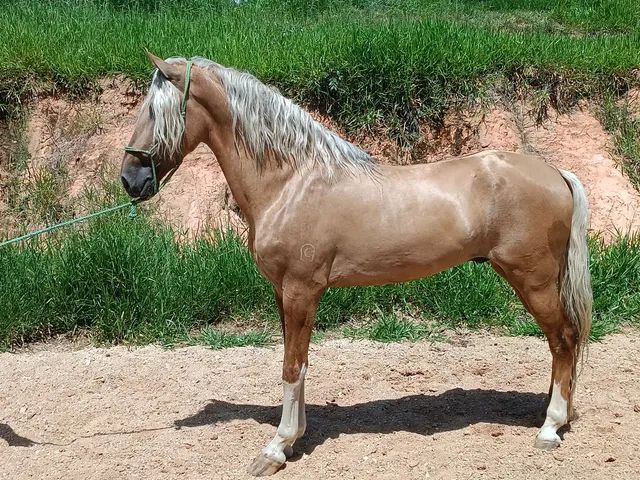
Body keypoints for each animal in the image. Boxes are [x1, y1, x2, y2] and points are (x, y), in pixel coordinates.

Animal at [120, 53, 592, 476]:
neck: (291, 181)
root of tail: (557, 174)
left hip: (533, 280)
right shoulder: (284, 292)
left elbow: (292, 366)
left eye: (153, 110)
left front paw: (275, 448)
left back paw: (550, 428)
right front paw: (295, 439)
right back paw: (557, 416)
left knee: (564, 340)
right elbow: (297, 363)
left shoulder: (301, 290)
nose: (130, 179)